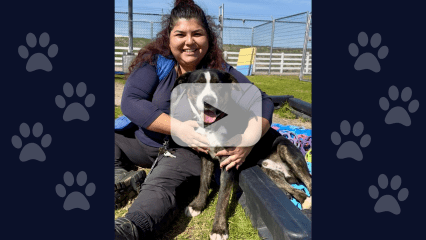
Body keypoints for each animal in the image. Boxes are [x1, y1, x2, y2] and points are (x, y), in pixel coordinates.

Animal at [171, 69, 312, 240]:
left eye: (219, 85)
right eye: (197, 84)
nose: (209, 101)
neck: (213, 125)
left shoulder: (229, 162)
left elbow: (222, 199)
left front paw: (219, 229)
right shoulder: (206, 156)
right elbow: (203, 182)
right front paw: (197, 205)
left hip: (286, 150)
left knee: (309, 182)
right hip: (269, 172)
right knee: (298, 191)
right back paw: (302, 199)